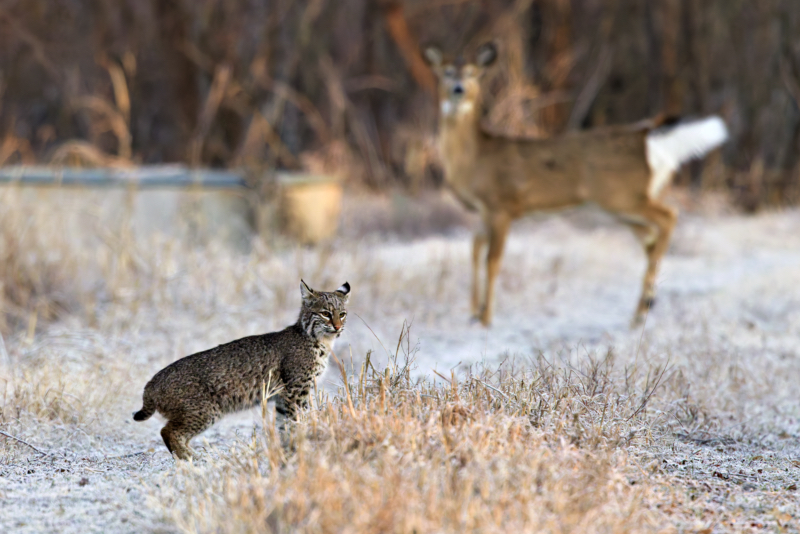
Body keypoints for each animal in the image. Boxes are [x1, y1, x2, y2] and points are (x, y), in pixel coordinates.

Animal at [424, 43, 732, 326]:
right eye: (446, 72)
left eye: (472, 73)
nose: (458, 89)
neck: (475, 157)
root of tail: (644, 135)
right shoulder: (482, 211)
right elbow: (475, 249)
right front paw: (474, 312)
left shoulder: (501, 205)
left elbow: (493, 259)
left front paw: (486, 317)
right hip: (619, 206)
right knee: (651, 237)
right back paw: (644, 308)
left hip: (623, 196)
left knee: (669, 217)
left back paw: (643, 306)